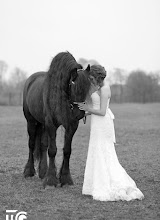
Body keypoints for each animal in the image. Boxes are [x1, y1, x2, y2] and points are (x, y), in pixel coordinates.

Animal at [22, 51, 90, 187]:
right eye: (73, 85)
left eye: (88, 87)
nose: (79, 113)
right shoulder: (51, 124)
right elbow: (52, 150)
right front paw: (51, 180)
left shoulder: (71, 125)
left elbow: (67, 150)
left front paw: (65, 178)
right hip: (31, 122)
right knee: (31, 144)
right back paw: (29, 171)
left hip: (42, 124)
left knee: (43, 145)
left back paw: (43, 172)